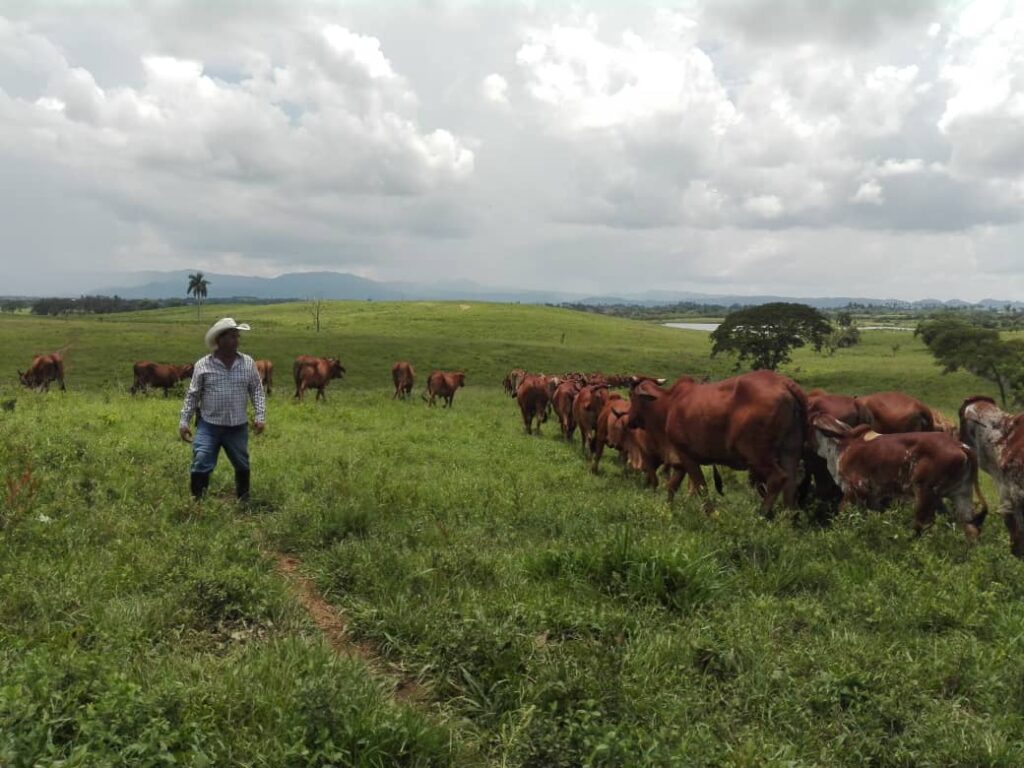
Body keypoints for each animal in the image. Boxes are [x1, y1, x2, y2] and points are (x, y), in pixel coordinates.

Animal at [622, 372, 806, 518]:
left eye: (630, 394)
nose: (630, 420)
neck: (668, 404)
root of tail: (783, 383)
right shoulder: (680, 460)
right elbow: (672, 487)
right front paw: (667, 510)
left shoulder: (687, 455)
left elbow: (701, 487)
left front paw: (711, 515)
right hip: (789, 451)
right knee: (790, 484)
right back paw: (788, 520)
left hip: (757, 454)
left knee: (778, 478)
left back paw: (762, 514)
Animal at [811, 411, 987, 544]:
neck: (843, 445)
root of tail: (960, 446)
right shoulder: (874, 497)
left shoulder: (855, 488)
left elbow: (842, 513)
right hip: (961, 495)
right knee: (970, 528)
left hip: (924, 492)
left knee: (922, 525)